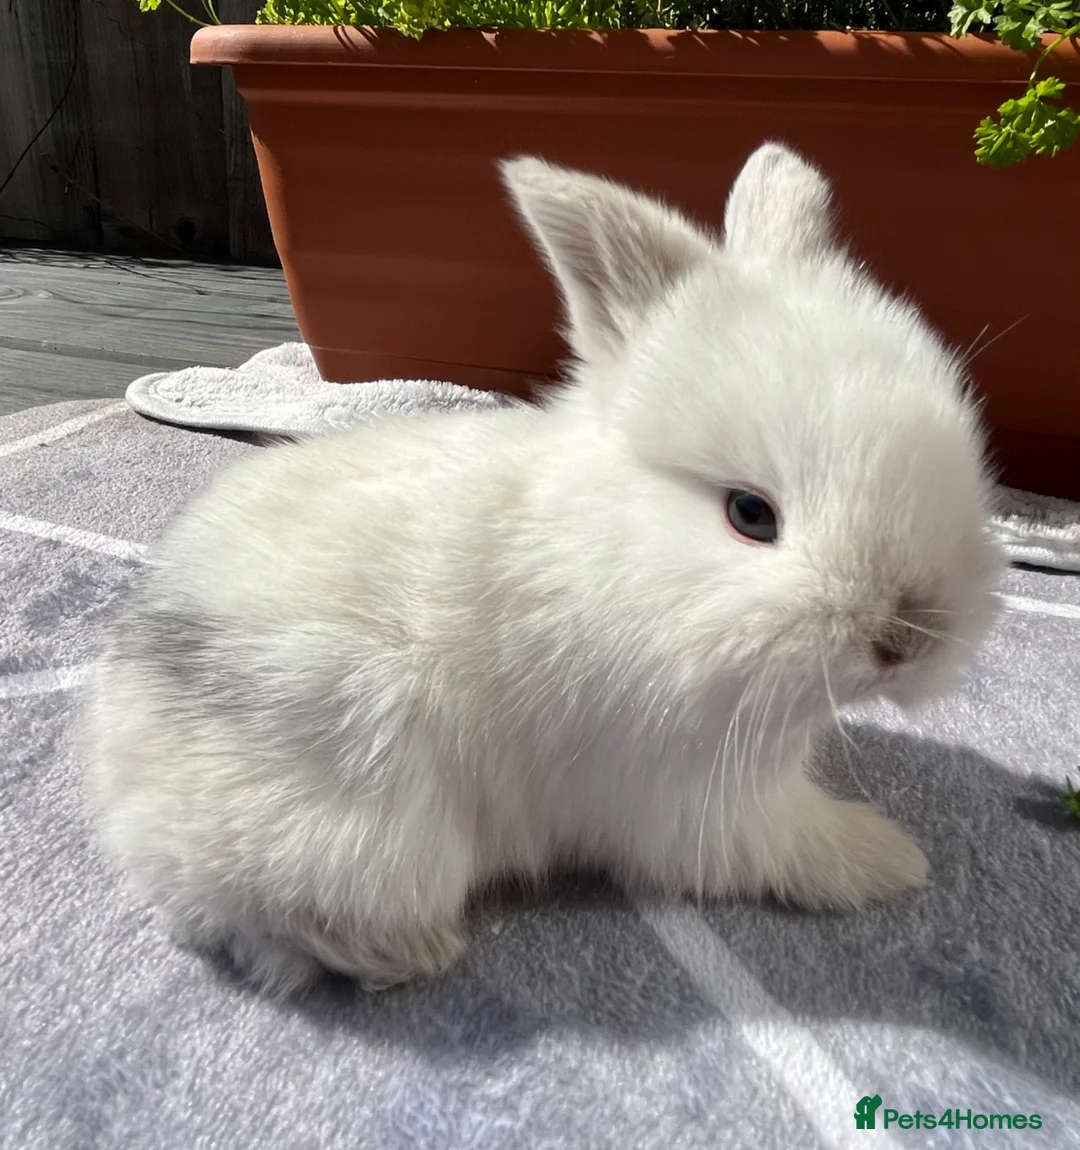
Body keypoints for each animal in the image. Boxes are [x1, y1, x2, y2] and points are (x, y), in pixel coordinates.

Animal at [82, 142, 1003, 997]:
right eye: (750, 515)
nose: (909, 640)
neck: (622, 555)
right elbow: (786, 845)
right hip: (370, 837)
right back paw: (415, 952)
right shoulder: (690, 800)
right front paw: (891, 859)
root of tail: (126, 779)